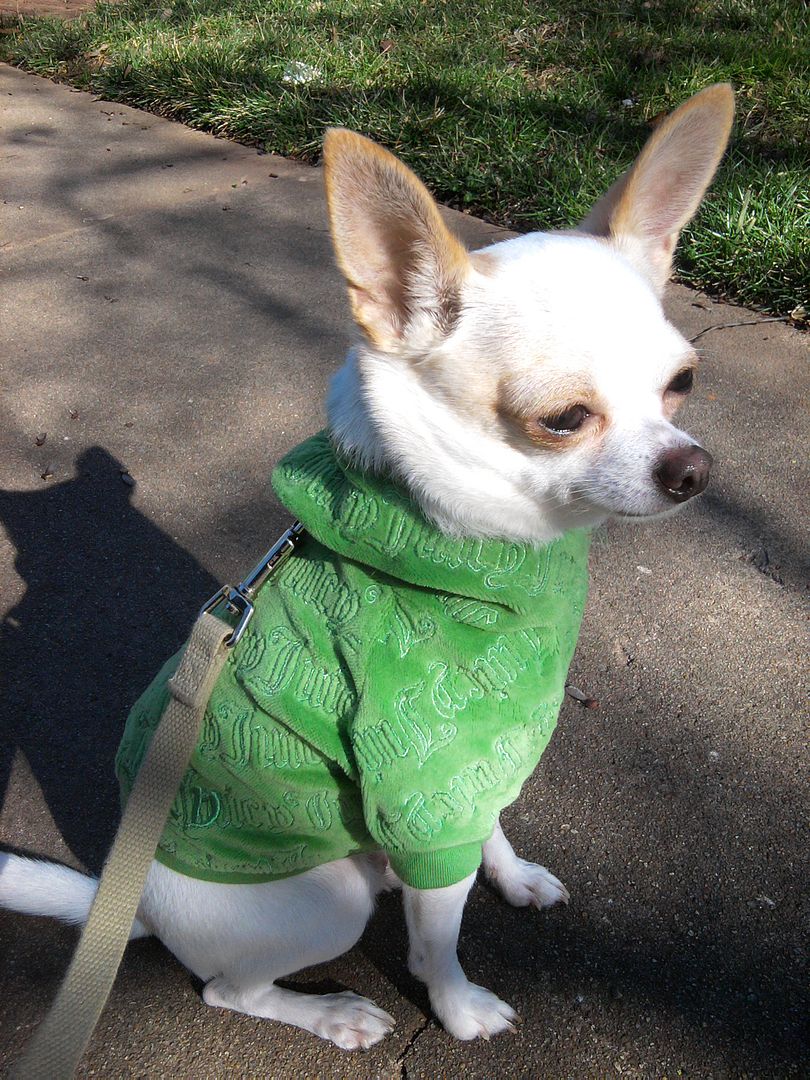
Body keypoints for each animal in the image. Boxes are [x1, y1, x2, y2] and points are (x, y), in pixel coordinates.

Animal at [0, 86, 734, 1054]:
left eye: (682, 382)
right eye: (563, 419)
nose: (692, 470)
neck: (483, 542)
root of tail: (134, 906)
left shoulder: (471, 766)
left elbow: (490, 824)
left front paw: (513, 876)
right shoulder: (420, 784)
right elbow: (438, 941)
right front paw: (458, 1008)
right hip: (325, 901)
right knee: (229, 990)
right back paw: (331, 1011)